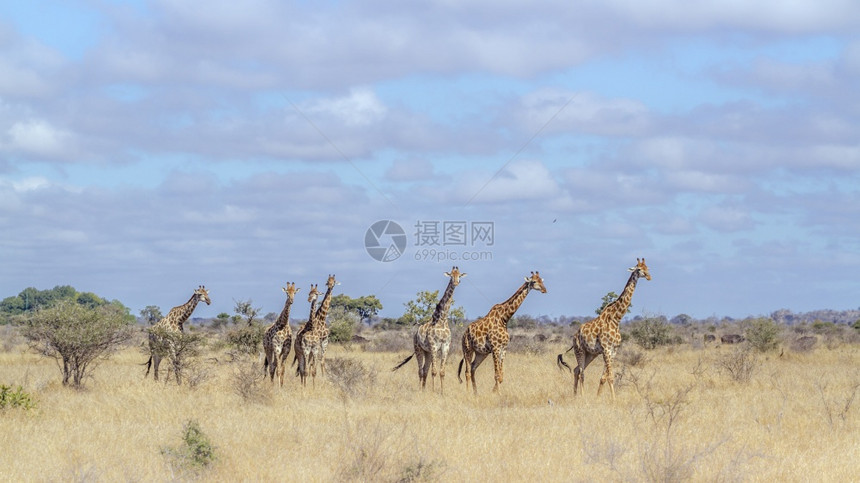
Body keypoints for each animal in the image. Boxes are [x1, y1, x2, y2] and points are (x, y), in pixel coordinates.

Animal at [394, 266, 466, 396]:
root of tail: (415, 333)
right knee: (420, 370)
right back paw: (419, 390)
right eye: (451, 275)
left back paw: (423, 389)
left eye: (459, 275)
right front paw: (433, 392)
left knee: (425, 370)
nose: (456, 282)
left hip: (426, 352)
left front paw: (442, 392)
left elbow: (442, 372)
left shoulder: (445, 346)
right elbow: (434, 371)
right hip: (419, 349)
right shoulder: (434, 346)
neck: (442, 320)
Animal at [556, 260, 652, 402]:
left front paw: (598, 397)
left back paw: (575, 395)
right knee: (581, 372)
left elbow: (604, 377)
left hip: (591, 354)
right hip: (580, 350)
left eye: (647, 268)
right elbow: (610, 377)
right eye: (639, 269)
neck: (616, 319)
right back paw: (582, 396)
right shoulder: (606, 349)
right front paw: (614, 400)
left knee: (576, 370)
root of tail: (574, 336)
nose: (649, 277)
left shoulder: (613, 351)